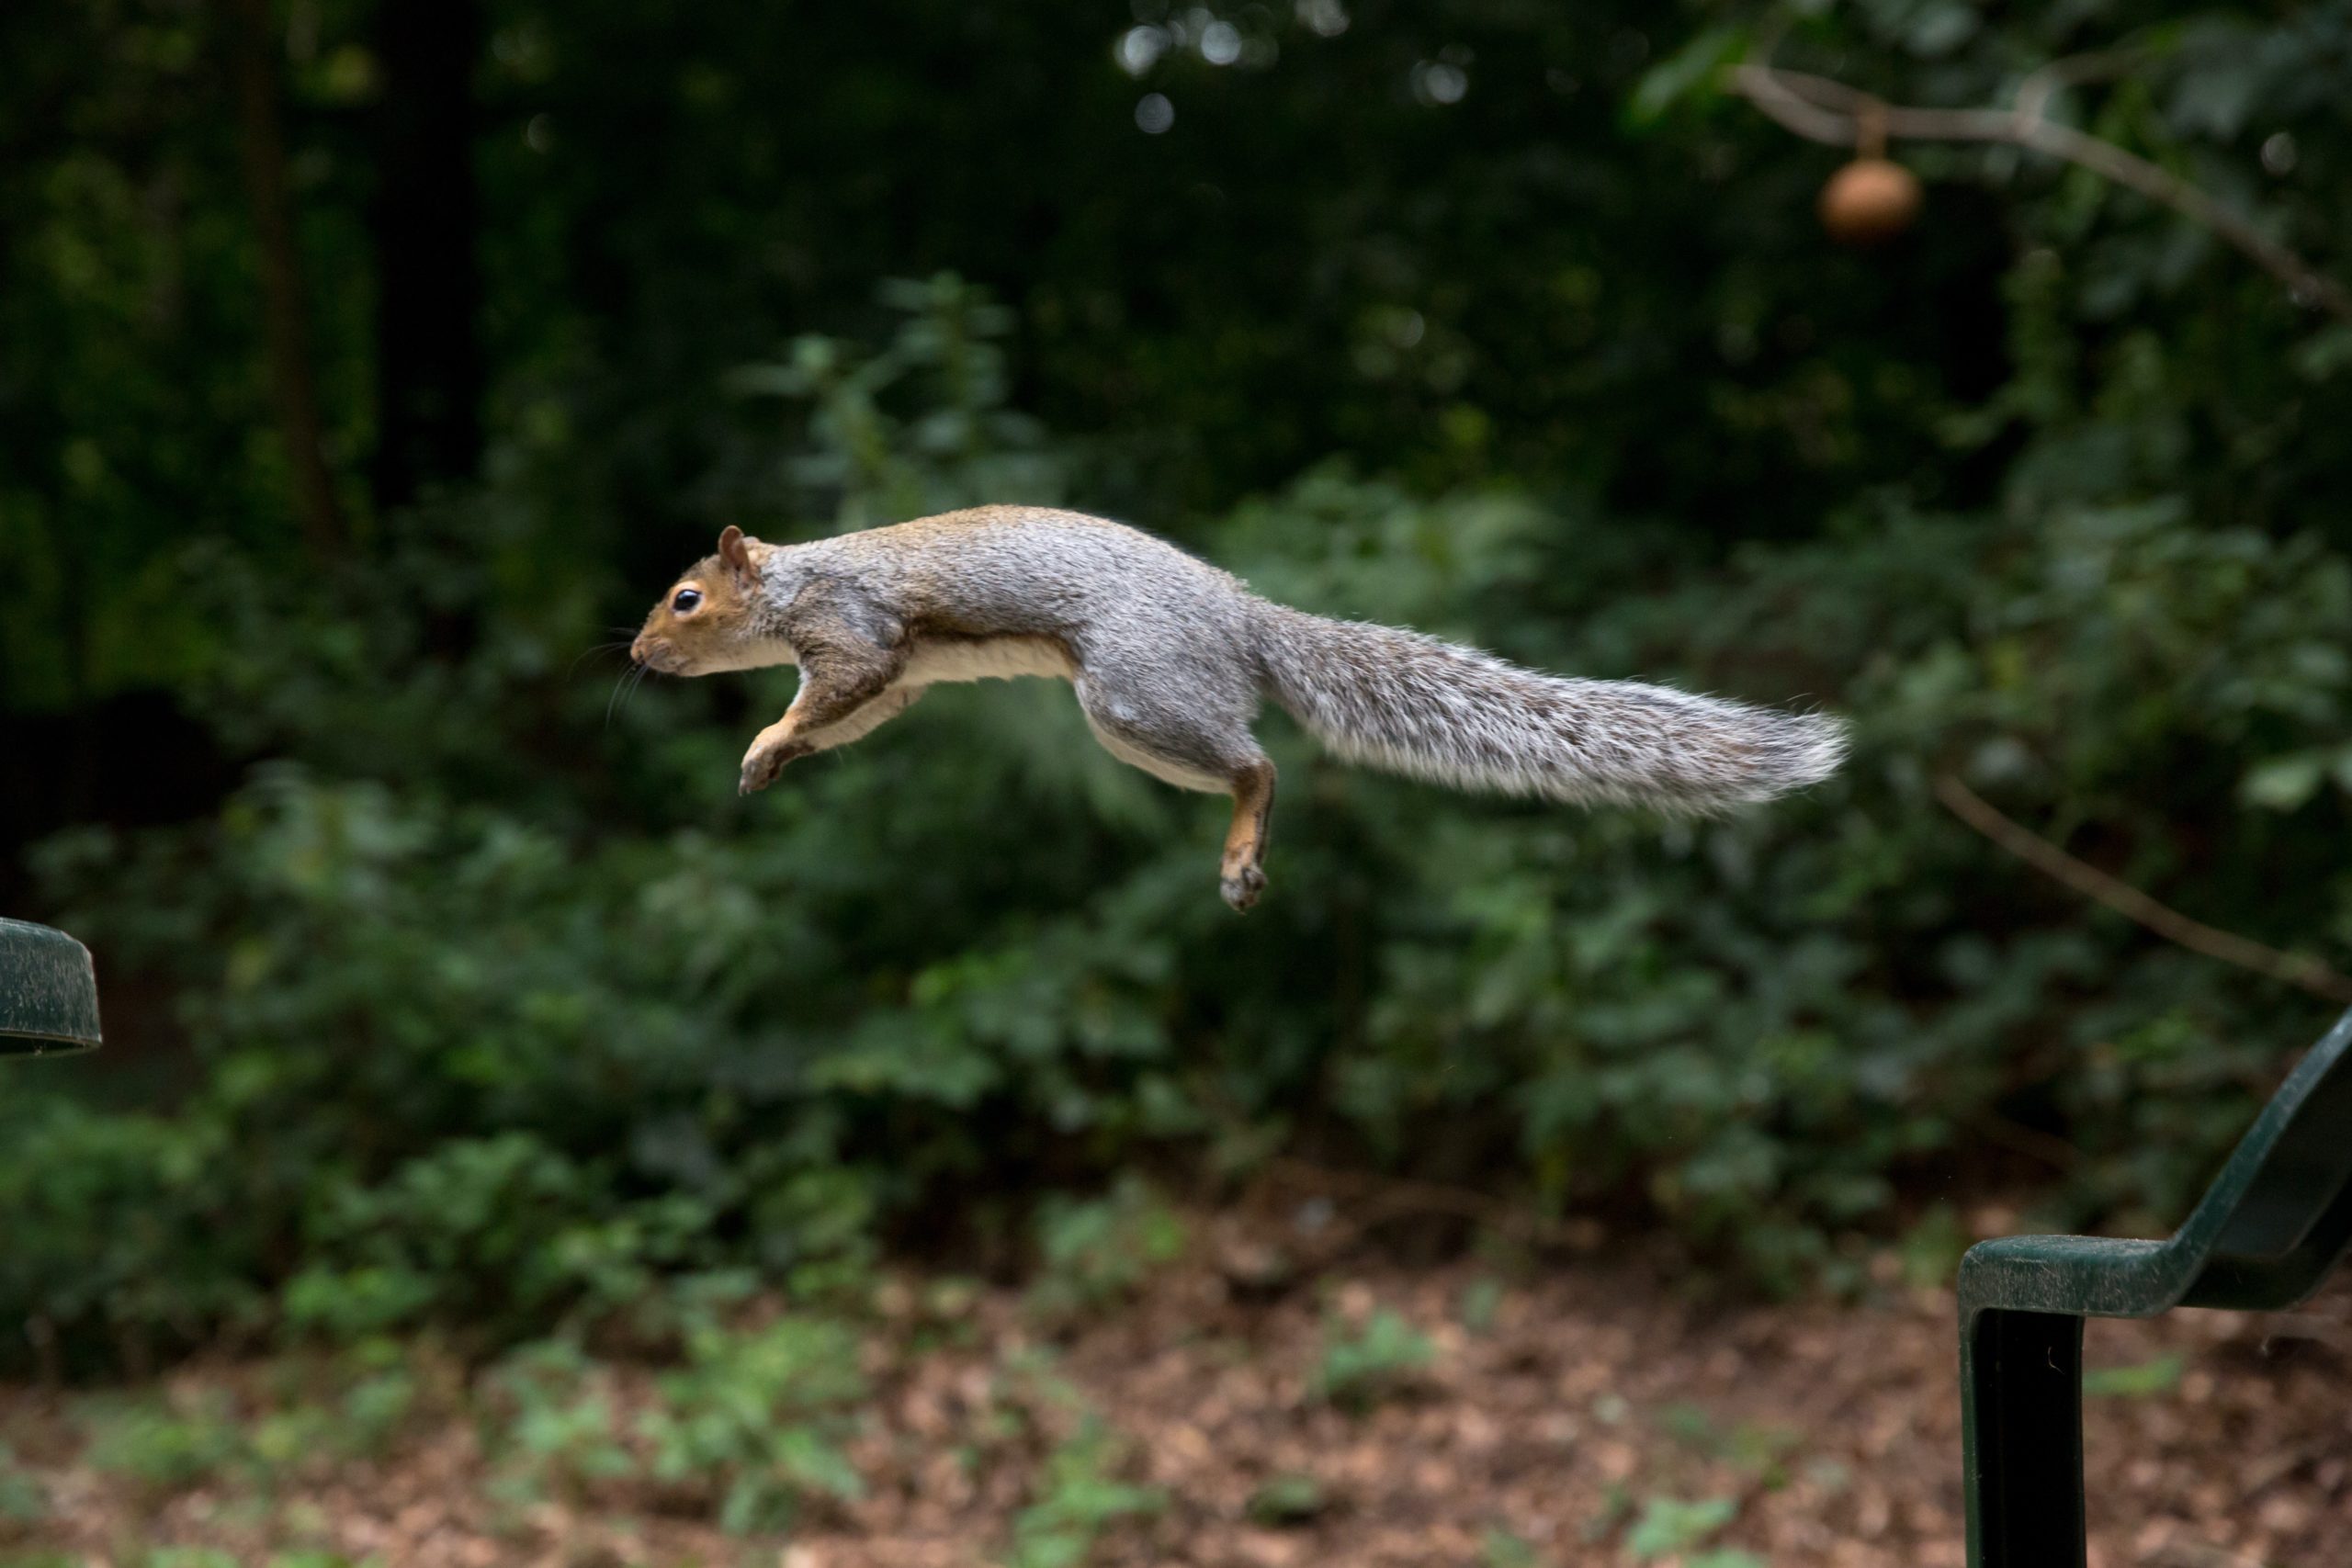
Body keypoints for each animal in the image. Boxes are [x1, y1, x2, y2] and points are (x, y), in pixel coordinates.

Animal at [631, 506, 1846, 910]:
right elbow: (853, 714)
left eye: (687, 598)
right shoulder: (898, 676)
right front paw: (771, 758)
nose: (638, 653)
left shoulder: (853, 627)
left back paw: (1240, 850)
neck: (791, 585)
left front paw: (765, 736)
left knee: (1258, 766)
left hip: (1132, 698)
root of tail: (1241, 617)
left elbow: (835, 687)